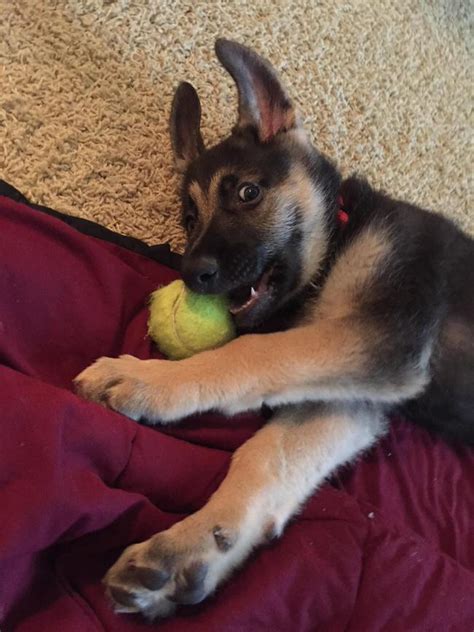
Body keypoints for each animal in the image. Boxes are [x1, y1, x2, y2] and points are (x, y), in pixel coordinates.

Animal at [75, 38, 474, 616]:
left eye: (247, 193)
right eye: (189, 219)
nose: (191, 273)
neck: (338, 242)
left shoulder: (385, 336)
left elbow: (252, 355)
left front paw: (149, 380)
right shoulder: (354, 397)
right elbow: (265, 457)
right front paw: (190, 549)